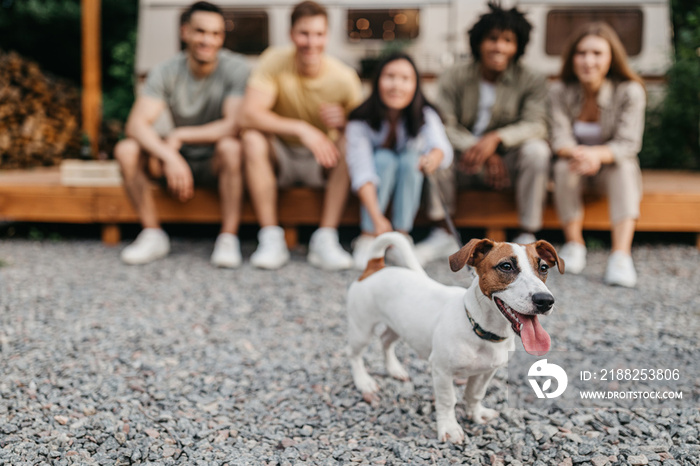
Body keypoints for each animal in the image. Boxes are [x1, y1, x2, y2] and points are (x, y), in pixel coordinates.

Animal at [348, 231, 568, 442]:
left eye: (544, 268)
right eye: (506, 266)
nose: (545, 300)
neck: (479, 329)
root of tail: (375, 267)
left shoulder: (486, 371)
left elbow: (475, 394)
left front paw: (476, 414)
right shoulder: (442, 371)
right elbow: (447, 401)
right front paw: (449, 428)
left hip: (398, 326)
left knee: (385, 341)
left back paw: (395, 369)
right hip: (362, 330)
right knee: (355, 355)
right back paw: (364, 382)